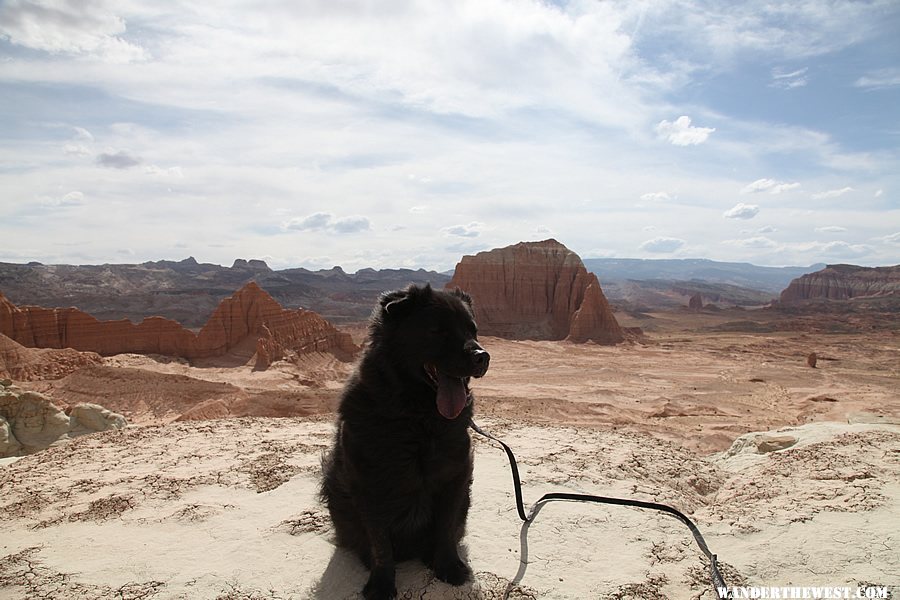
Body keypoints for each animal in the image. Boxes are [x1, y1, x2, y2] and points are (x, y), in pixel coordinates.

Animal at [324, 284, 488, 600]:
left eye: (473, 330)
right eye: (438, 330)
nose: (482, 356)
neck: (418, 421)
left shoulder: (455, 477)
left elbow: (445, 528)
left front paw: (448, 567)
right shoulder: (369, 485)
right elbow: (380, 544)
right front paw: (381, 585)